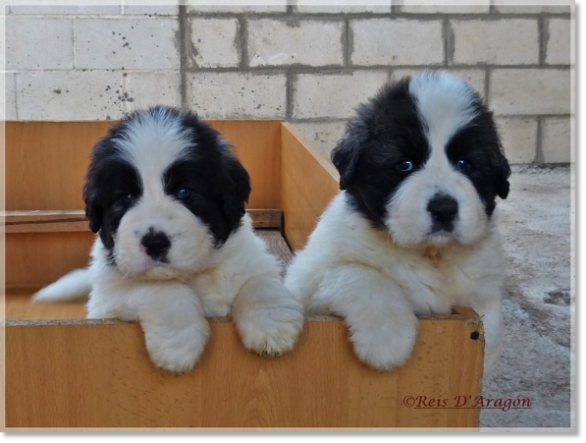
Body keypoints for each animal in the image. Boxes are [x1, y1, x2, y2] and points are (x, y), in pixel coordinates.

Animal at [33, 106, 304, 374]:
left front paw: (273, 328)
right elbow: (161, 288)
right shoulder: (108, 299)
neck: (195, 276)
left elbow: (261, 283)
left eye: (184, 192)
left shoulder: (250, 258)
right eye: (126, 197)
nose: (155, 243)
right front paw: (178, 347)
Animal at [282, 70, 506, 374]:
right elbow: (362, 274)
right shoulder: (309, 277)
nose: (444, 209)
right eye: (405, 165)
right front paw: (387, 343)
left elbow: (490, 321)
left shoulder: (481, 287)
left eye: (465, 164)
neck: (430, 255)